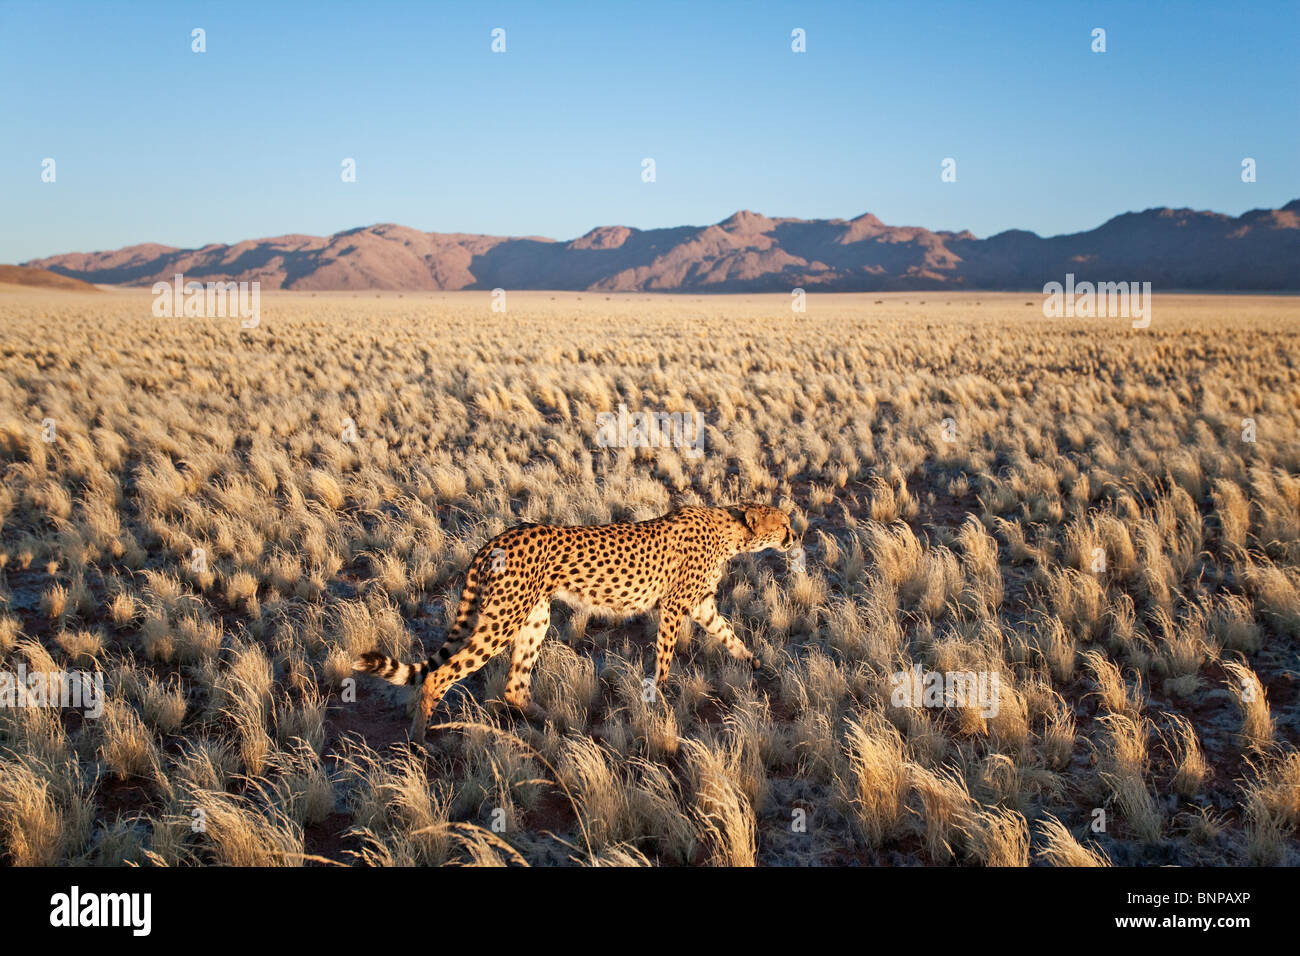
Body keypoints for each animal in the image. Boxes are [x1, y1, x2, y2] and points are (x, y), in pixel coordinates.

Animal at [353, 504, 790, 743]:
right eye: (783, 524)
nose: (794, 537)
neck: (731, 529)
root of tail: (499, 537)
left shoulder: (700, 605)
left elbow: (730, 635)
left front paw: (755, 664)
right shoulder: (674, 606)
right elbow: (665, 658)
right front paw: (661, 699)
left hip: (535, 617)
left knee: (514, 685)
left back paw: (556, 722)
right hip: (504, 619)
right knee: (439, 675)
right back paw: (419, 739)